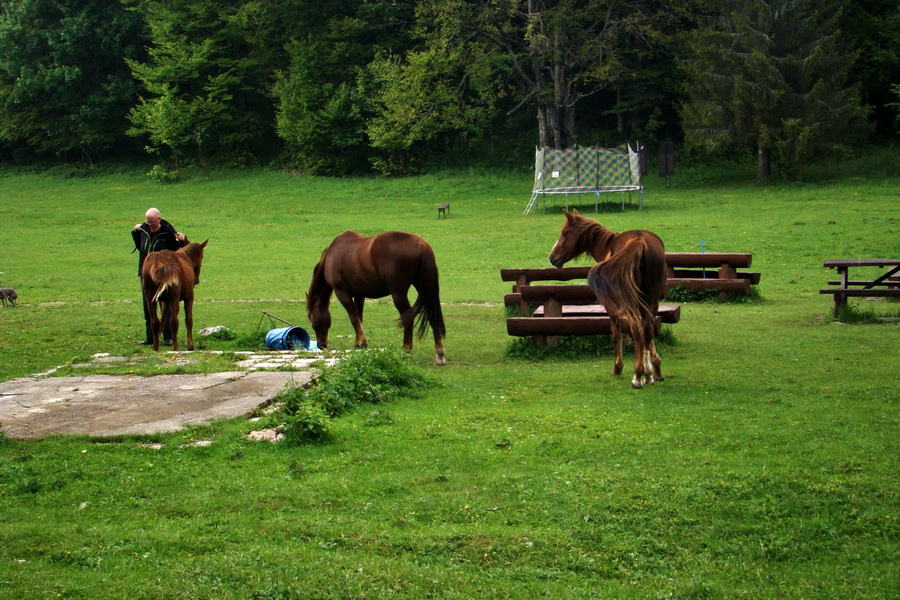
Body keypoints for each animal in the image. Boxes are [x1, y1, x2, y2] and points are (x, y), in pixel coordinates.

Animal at [308, 232, 448, 366]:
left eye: (310, 318)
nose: (321, 345)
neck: (332, 255)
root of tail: (420, 243)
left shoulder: (342, 293)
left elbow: (353, 318)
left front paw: (361, 342)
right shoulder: (359, 295)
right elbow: (359, 318)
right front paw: (359, 343)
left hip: (398, 294)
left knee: (407, 318)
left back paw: (406, 350)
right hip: (423, 288)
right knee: (432, 315)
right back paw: (439, 354)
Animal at [548, 211, 668, 390]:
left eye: (564, 233)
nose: (552, 257)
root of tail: (639, 242)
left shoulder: (613, 308)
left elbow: (616, 334)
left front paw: (618, 367)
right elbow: (650, 337)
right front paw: (655, 370)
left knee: (637, 330)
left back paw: (637, 376)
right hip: (650, 300)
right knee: (647, 330)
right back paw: (646, 375)